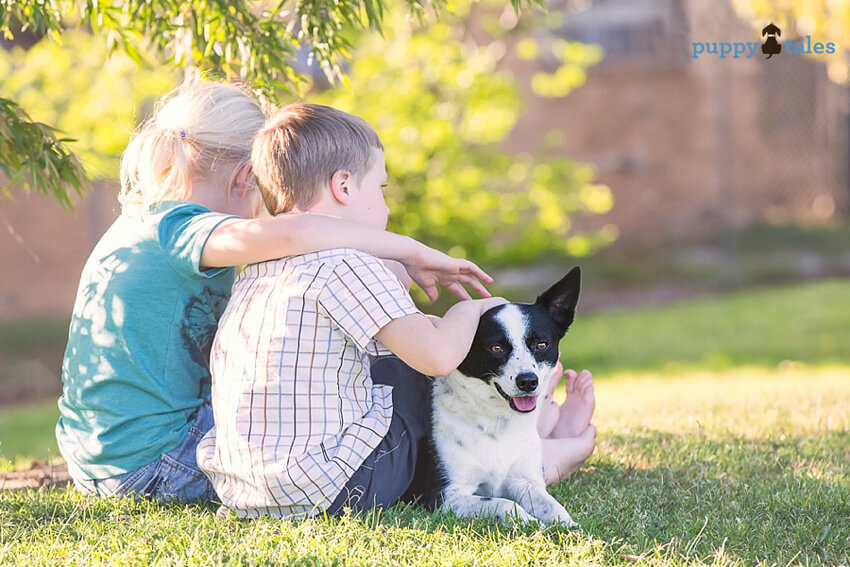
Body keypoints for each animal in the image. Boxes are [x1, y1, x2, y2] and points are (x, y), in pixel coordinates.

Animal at [428, 268, 580, 524]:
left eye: (542, 344)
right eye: (496, 348)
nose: (528, 381)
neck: (497, 422)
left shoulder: (526, 482)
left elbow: (553, 506)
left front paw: (570, 526)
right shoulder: (448, 496)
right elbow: (504, 503)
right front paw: (531, 523)